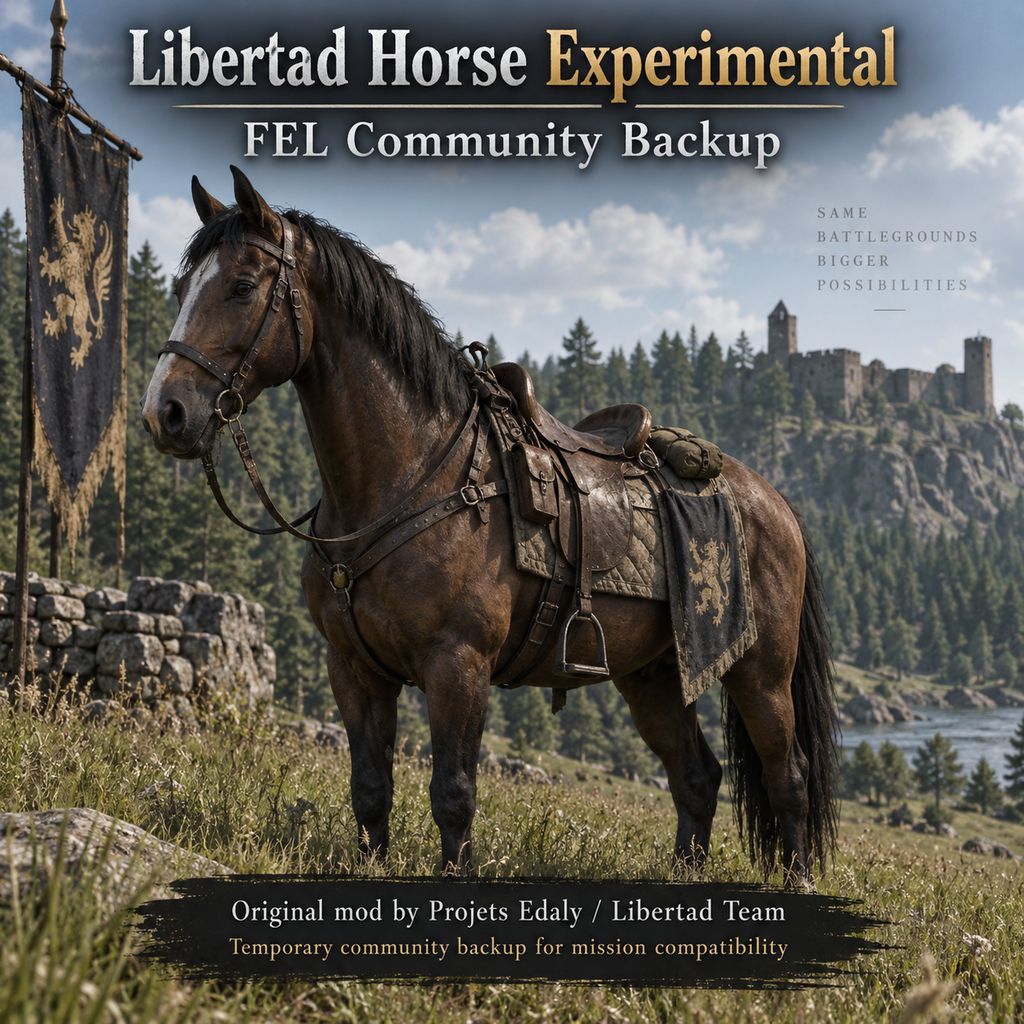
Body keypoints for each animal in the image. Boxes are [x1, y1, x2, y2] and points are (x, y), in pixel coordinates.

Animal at [141, 166, 838, 886]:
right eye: (181, 288)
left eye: (242, 286)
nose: (166, 412)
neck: (412, 473)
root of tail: (775, 504)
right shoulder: (354, 669)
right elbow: (370, 789)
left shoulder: (458, 664)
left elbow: (453, 794)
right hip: (653, 677)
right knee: (697, 777)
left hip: (760, 671)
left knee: (787, 774)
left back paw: (801, 877)